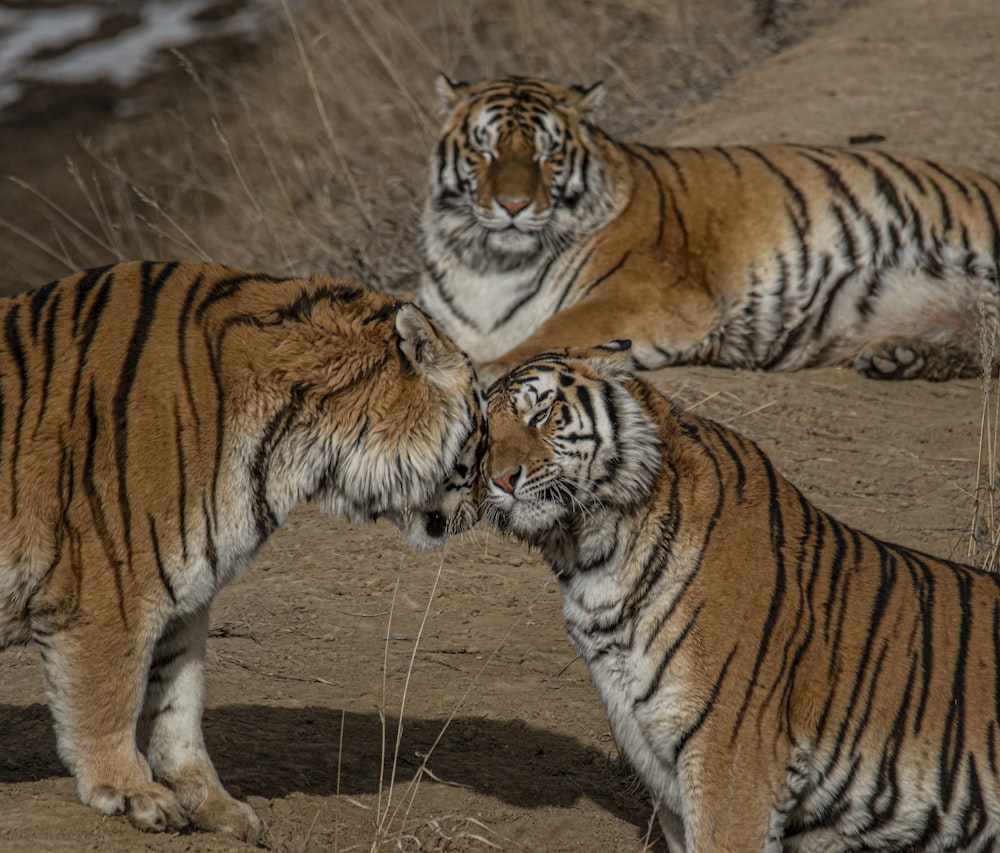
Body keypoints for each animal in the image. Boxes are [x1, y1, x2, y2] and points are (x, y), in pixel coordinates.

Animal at [0, 260, 484, 840]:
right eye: (482, 427)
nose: (488, 501)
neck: (300, 444)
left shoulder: (183, 598)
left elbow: (179, 706)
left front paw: (216, 806)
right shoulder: (107, 588)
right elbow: (110, 698)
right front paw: (132, 793)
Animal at [418, 75, 1000, 388]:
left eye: (547, 154)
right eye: (484, 150)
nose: (513, 205)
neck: (490, 263)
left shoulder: (644, 294)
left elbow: (556, 328)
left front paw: (488, 369)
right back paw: (898, 357)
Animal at [480, 342, 1000, 852]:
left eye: (541, 413)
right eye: (484, 434)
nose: (500, 480)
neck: (595, 561)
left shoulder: (732, 758)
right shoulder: (659, 766)